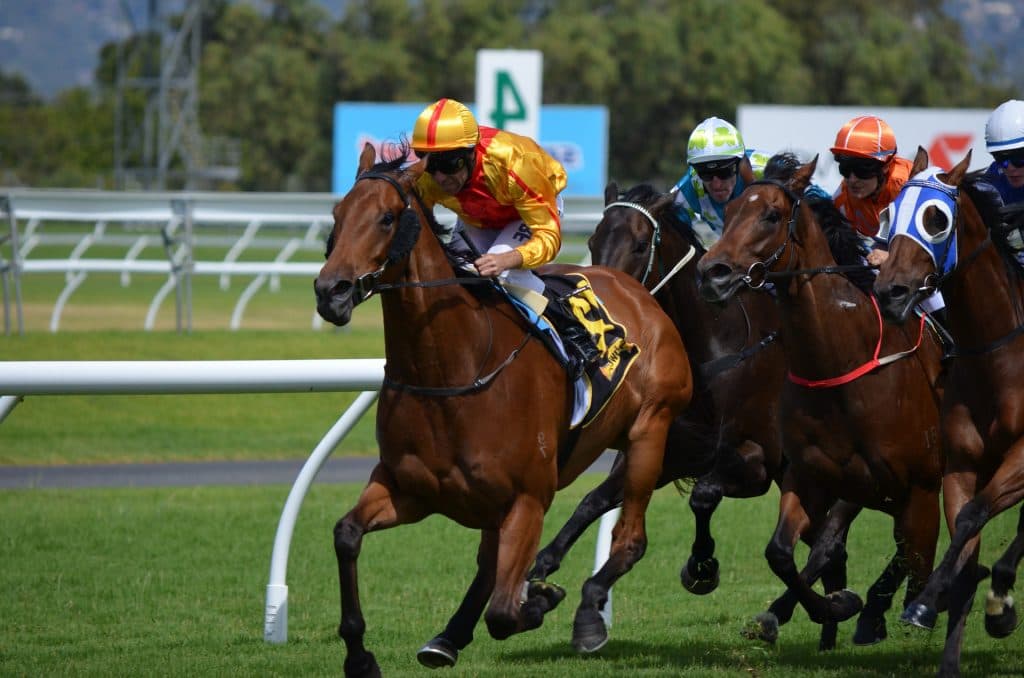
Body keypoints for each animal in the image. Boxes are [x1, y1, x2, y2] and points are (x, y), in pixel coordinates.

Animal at [314, 143, 698, 676]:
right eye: (337, 214)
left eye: (387, 218)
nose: (330, 292)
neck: (454, 369)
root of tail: (636, 289)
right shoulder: (408, 489)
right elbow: (346, 534)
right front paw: (360, 655)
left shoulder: (528, 499)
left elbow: (502, 612)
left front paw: (539, 600)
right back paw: (449, 636)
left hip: (650, 431)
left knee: (630, 539)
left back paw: (584, 614)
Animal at [695, 153, 946, 648]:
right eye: (728, 214)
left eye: (771, 215)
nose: (713, 273)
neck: (838, 363)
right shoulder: (810, 476)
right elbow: (783, 552)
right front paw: (830, 606)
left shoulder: (914, 485)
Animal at [873, 147, 1024, 677]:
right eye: (887, 214)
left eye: (936, 219)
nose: (891, 292)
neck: (998, 357)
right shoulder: (960, 464)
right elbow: (964, 530)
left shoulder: (1022, 458)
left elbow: (976, 515)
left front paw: (928, 601)